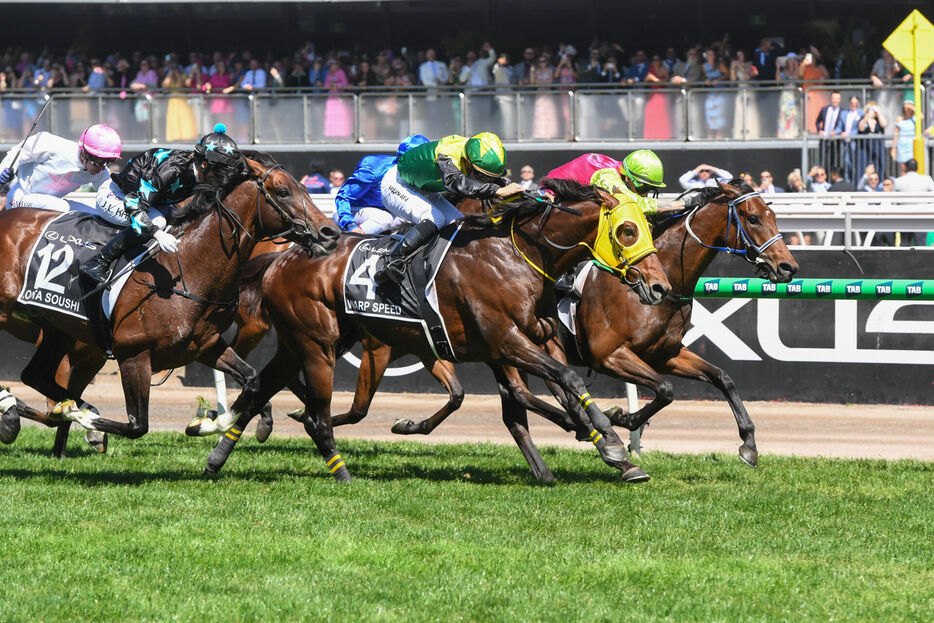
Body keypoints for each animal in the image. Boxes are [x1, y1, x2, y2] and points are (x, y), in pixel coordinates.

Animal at [0, 156, 340, 448]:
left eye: (306, 189)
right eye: (283, 191)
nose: (330, 232)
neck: (188, 267)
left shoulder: (205, 346)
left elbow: (253, 380)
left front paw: (208, 423)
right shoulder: (133, 355)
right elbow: (137, 426)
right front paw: (81, 417)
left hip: (58, 327)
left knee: (35, 375)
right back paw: (16, 408)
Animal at [192, 179, 672, 482]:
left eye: (648, 228)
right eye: (628, 230)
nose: (659, 287)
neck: (516, 256)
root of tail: (282, 256)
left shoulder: (535, 340)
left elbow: (547, 397)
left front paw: (609, 449)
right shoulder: (507, 342)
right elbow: (566, 381)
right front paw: (613, 444)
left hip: (303, 343)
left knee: (260, 386)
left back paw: (217, 455)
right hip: (317, 345)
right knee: (311, 410)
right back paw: (333, 465)